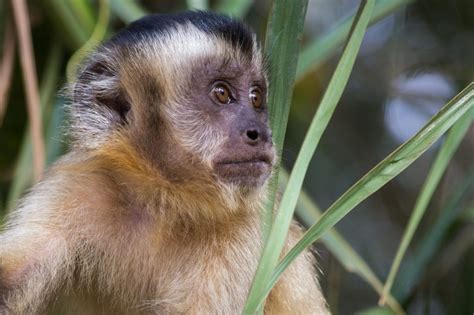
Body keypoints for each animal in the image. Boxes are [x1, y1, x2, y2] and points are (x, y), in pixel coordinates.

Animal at [0, 11, 330, 314]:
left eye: (256, 98)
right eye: (222, 93)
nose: (261, 132)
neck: (161, 198)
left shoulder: (248, 230)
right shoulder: (77, 183)